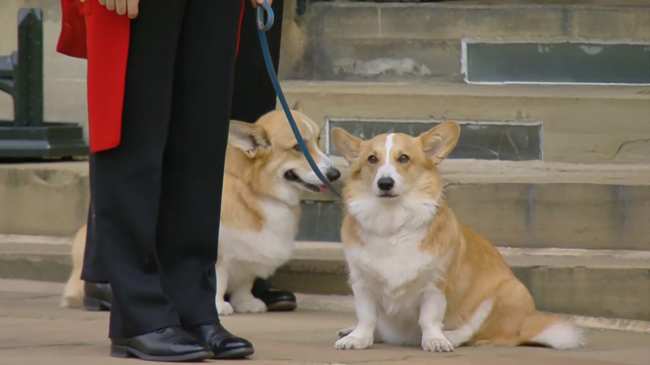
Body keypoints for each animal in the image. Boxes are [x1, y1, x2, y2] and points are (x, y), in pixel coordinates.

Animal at [62, 107, 340, 312]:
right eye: (297, 147)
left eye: (318, 140)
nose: (335, 174)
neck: (253, 189)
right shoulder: (218, 253)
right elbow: (217, 278)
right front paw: (218, 306)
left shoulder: (248, 256)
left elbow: (244, 282)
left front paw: (246, 303)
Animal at [332, 123, 580, 352]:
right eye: (372, 159)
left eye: (403, 158)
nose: (385, 183)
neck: (392, 222)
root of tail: (526, 325)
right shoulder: (362, 283)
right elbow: (367, 317)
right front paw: (358, 338)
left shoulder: (435, 284)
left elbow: (429, 318)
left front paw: (435, 340)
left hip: (508, 291)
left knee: (473, 332)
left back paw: (449, 336)